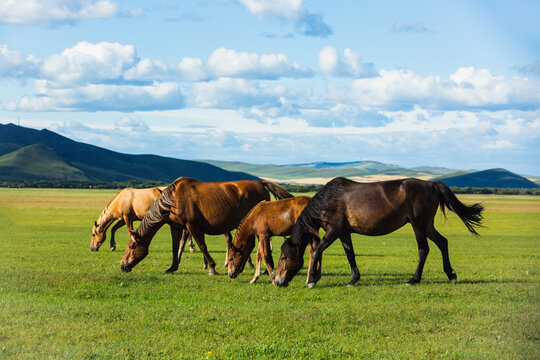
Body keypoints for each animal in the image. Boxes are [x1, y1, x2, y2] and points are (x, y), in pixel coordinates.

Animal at [120, 176, 294, 272]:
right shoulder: (176, 227)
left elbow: (202, 246)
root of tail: (259, 182)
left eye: (132, 246)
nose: (122, 265)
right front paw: (172, 267)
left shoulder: (191, 226)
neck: (173, 200)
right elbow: (177, 246)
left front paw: (211, 267)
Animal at [274, 176, 486, 288]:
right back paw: (451, 275)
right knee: (442, 242)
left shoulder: (333, 231)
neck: (329, 200)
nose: (277, 281)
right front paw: (353, 279)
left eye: (283, 257)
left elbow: (318, 249)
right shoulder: (344, 233)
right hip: (427, 225)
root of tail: (432, 184)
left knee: (423, 250)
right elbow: (350, 255)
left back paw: (414, 279)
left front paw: (311, 279)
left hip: (418, 225)